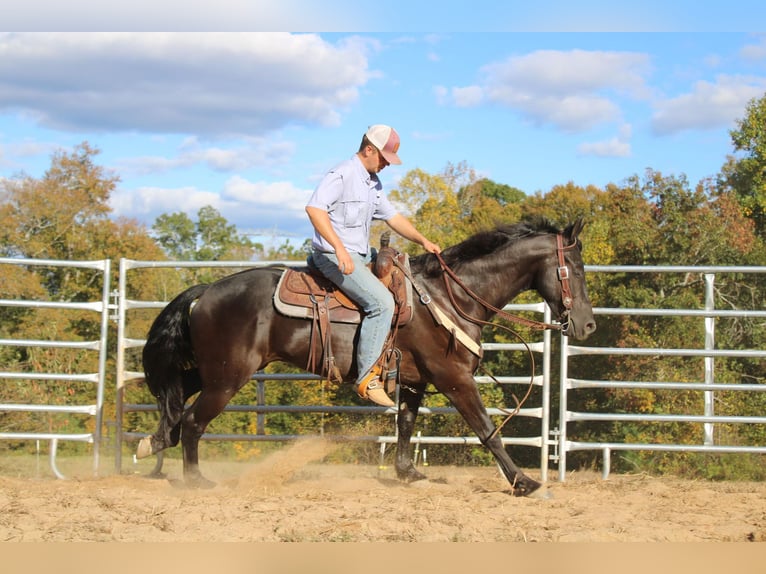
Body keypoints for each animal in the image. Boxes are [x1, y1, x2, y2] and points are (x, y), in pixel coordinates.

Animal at [138, 218, 596, 498]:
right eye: (574, 268)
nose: (588, 326)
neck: (450, 297)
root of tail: (208, 290)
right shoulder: (454, 379)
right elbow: (488, 430)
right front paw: (524, 482)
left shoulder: (415, 381)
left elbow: (406, 426)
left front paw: (408, 473)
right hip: (227, 377)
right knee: (192, 421)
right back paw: (196, 480)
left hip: (212, 372)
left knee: (176, 401)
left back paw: (153, 443)